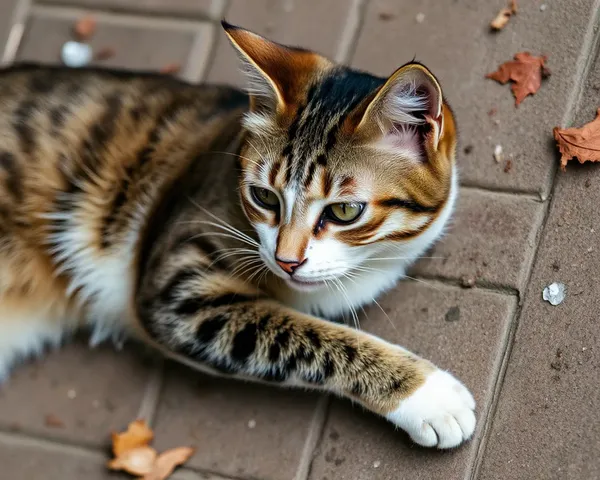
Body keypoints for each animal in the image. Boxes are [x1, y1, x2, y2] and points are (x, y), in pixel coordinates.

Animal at [1, 21, 478, 450]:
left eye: (344, 211)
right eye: (263, 196)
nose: (287, 261)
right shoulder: (179, 287)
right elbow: (308, 337)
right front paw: (429, 396)